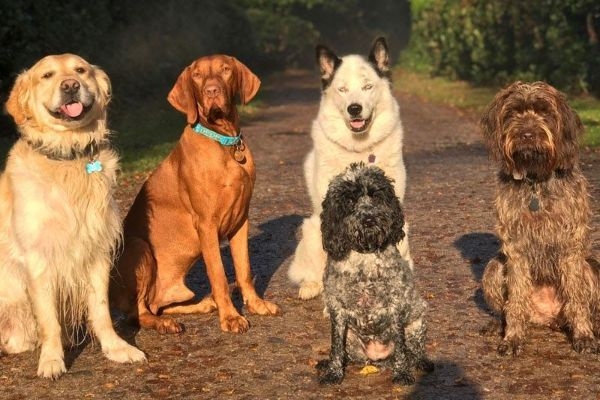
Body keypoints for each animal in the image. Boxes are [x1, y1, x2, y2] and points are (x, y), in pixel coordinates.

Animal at [288, 38, 412, 300]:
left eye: (367, 87)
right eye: (342, 90)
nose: (354, 108)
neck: (360, 150)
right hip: (311, 229)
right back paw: (311, 286)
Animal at [316, 162, 434, 384]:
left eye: (376, 195)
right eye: (350, 200)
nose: (369, 218)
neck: (365, 257)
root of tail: (377, 358)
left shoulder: (396, 305)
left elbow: (400, 348)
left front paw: (402, 373)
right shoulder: (337, 308)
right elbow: (336, 347)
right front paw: (334, 371)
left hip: (417, 322)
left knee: (413, 351)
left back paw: (420, 362)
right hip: (352, 340)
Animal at [482, 79, 600, 354]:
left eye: (544, 112)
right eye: (513, 113)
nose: (527, 134)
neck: (536, 180)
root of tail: (546, 317)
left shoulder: (571, 246)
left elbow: (577, 297)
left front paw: (583, 335)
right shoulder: (515, 249)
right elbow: (516, 298)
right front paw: (513, 337)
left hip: (590, 268)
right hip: (494, 267)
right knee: (507, 307)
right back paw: (499, 325)